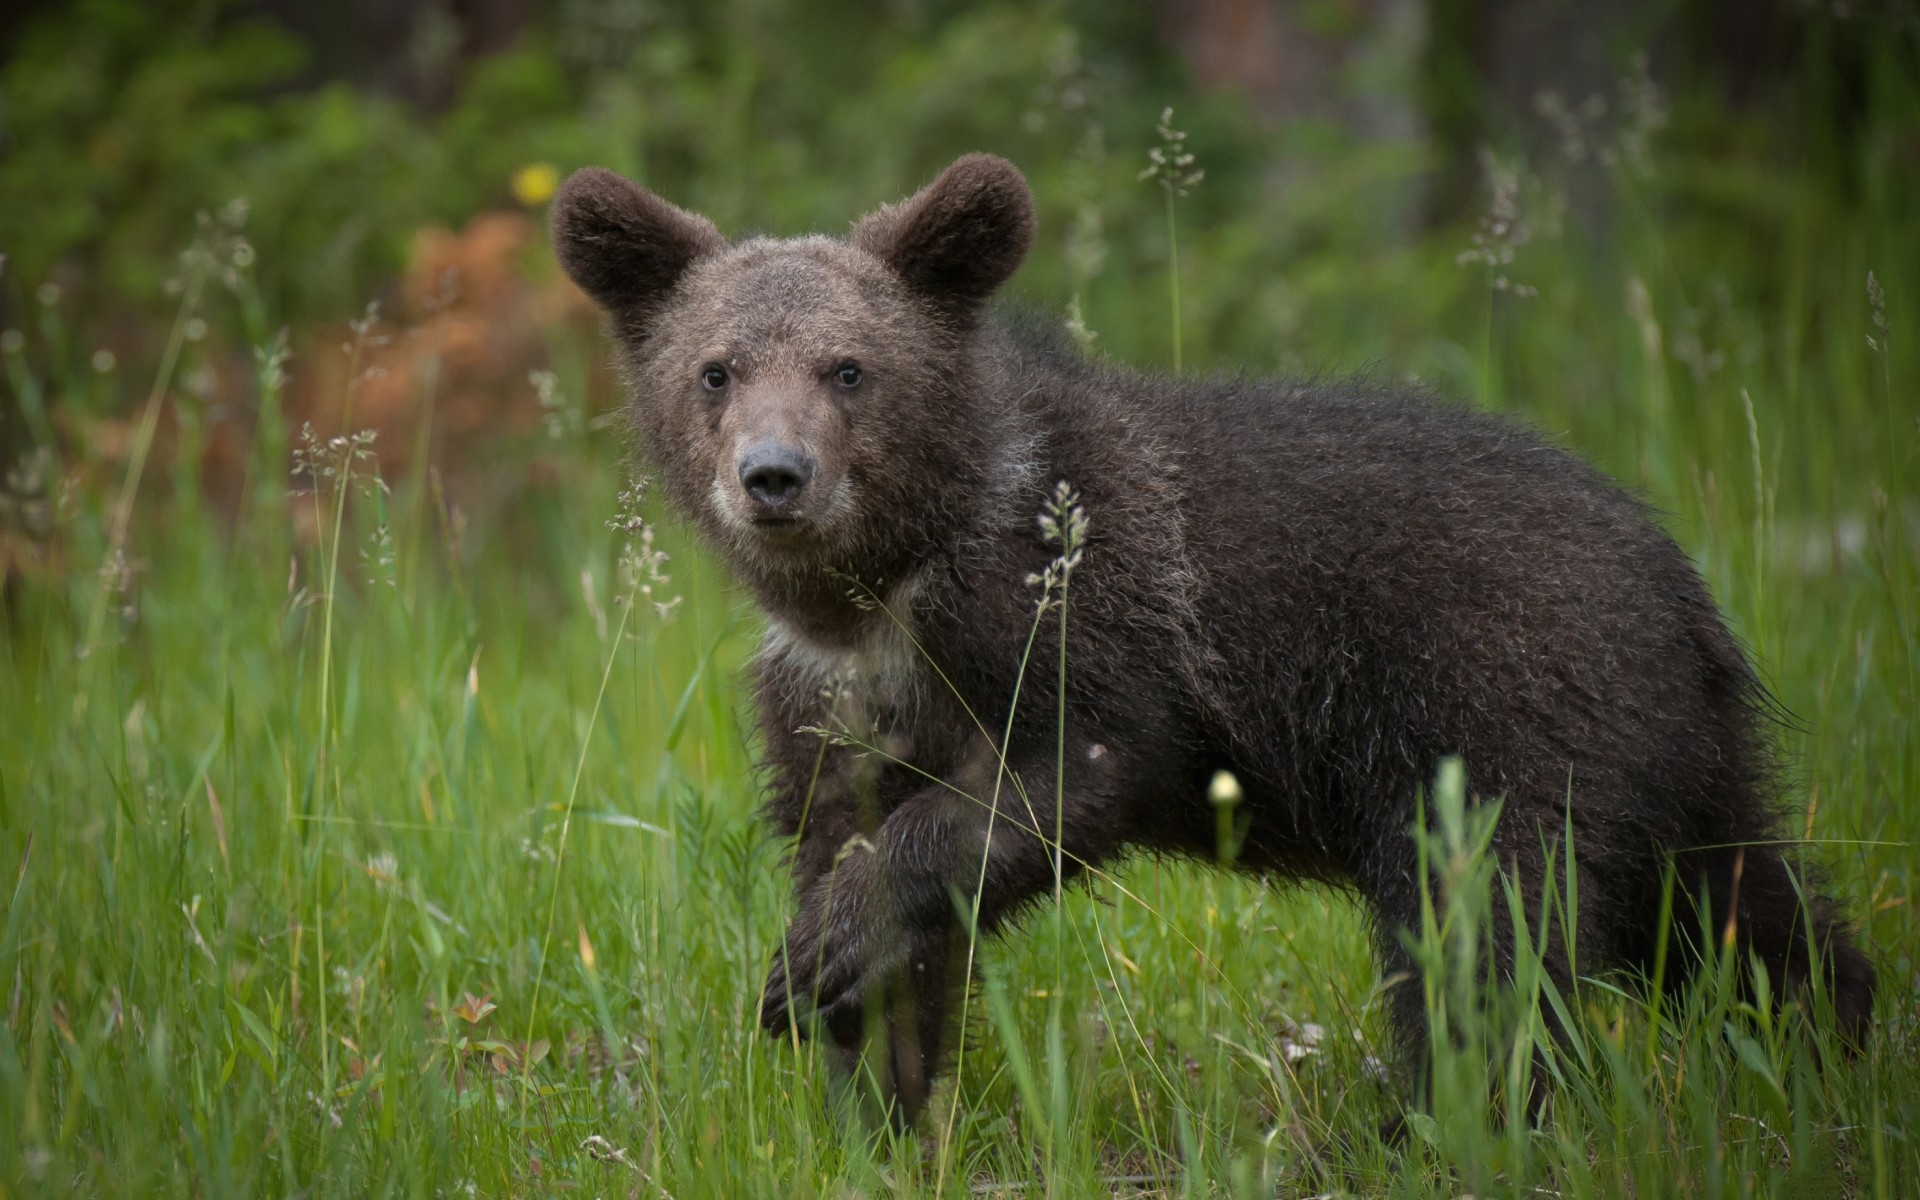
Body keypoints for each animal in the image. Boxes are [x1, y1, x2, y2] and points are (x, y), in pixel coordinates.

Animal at [552, 151, 1873, 1121]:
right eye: (716, 368)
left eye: (848, 367)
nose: (775, 477)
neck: (887, 590)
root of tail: (1682, 585)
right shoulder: (835, 707)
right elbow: (860, 869)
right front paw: (872, 1092)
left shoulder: (1092, 615)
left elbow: (1065, 773)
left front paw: (822, 956)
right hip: (1670, 756)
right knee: (1740, 908)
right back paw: (1839, 1041)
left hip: (1500, 707)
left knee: (1483, 929)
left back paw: (1453, 1121)